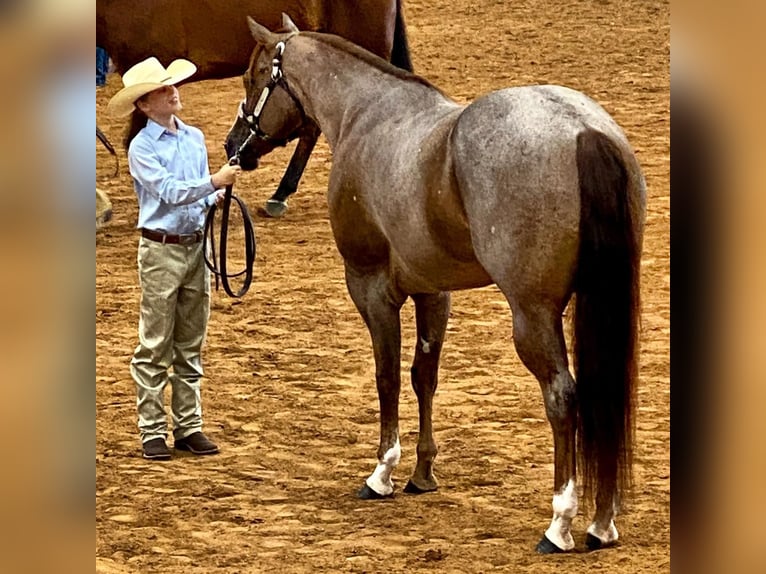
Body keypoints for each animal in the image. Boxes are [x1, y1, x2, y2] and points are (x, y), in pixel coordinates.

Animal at [226, 16, 645, 553]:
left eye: (253, 78)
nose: (234, 146)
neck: (366, 115)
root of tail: (584, 131)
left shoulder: (370, 286)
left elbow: (385, 375)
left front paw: (382, 472)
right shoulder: (433, 291)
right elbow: (423, 375)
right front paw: (422, 473)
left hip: (533, 315)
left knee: (563, 397)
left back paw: (560, 524)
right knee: (601, 395)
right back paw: (602, 521)